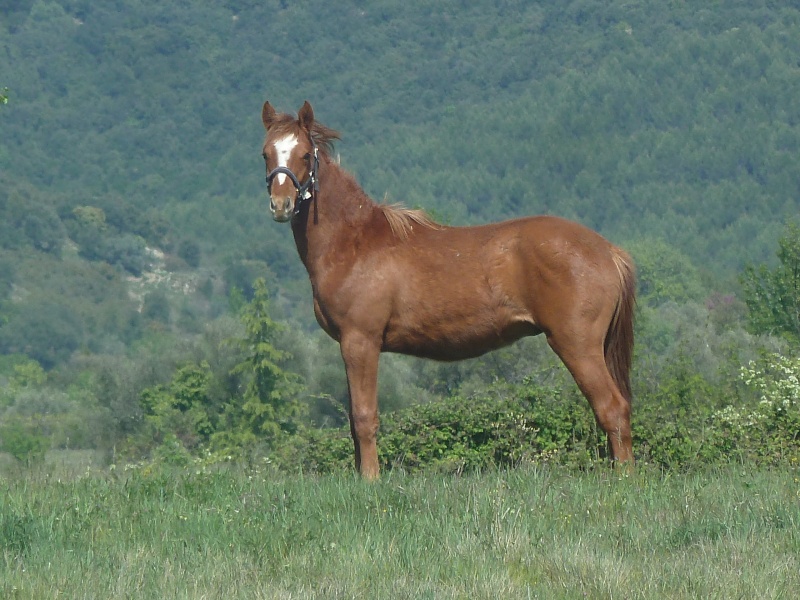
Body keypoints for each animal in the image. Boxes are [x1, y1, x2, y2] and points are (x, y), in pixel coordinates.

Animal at [260, 102, 636, 478]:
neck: (355, 242)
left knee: (612, 408)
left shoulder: (360, 341)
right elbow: (354, 421)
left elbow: (364, 417)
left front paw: (370, 480)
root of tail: (609, 251)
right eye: (266, 153)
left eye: (305, 154)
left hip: (576, 344)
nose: (280, 205)